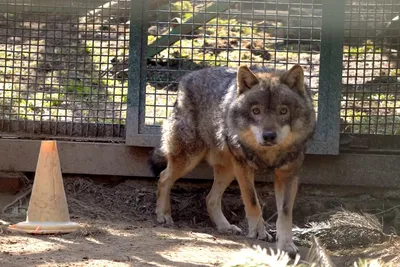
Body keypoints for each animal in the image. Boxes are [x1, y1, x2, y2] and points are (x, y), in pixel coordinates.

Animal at [149, 63, 316, 258]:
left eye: (283, 111)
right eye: (256, 111)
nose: (269, 136)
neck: (268, 153)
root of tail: (187, 77)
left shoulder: (288, 174)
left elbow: (285, 213)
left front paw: (286, 244)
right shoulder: (243, 167)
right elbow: (252, 201)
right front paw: (258, 232)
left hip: (227, 169)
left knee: (210, 199)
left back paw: (225, 227)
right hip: (189, 160)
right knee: (163, 178)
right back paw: (163, 215)